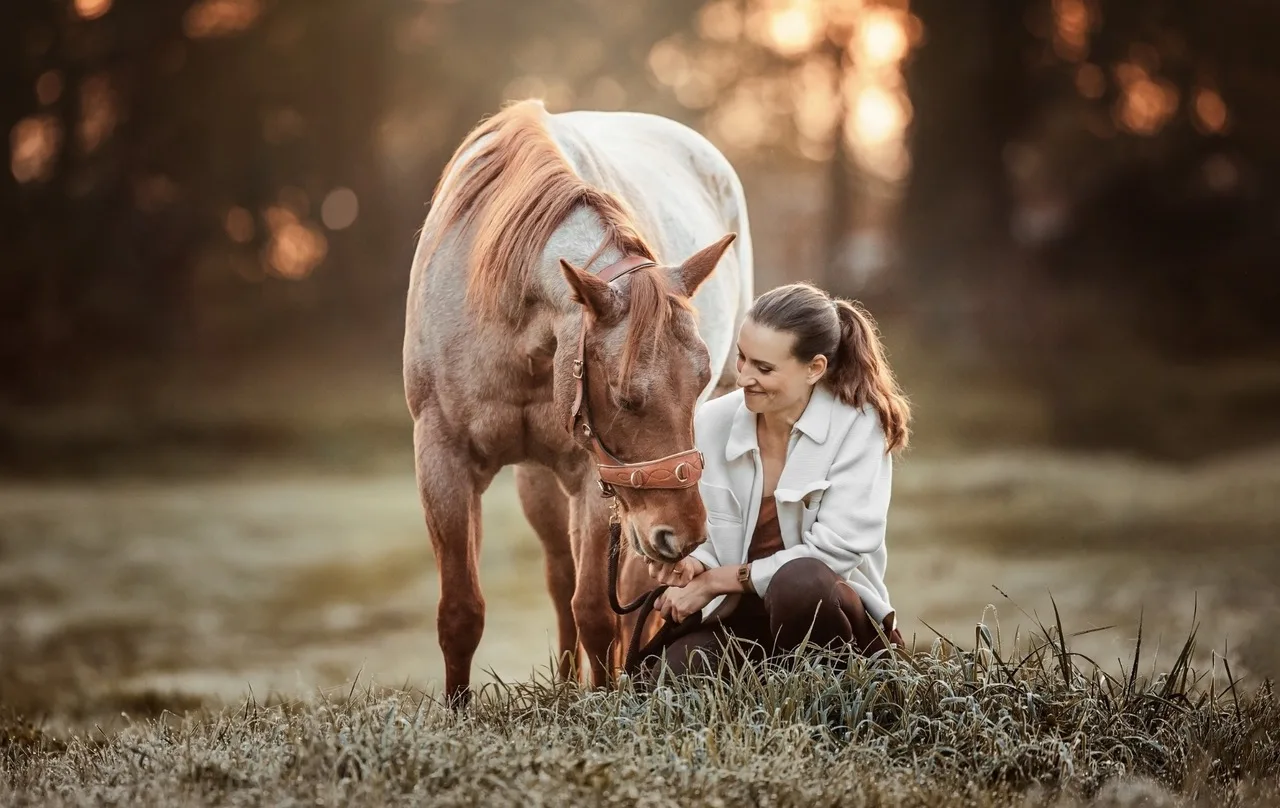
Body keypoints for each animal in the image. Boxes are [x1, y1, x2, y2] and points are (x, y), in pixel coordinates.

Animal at [403, 98, 754, 703]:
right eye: (624, 396)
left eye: (700, 381)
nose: (684, 532)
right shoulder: (442, 456)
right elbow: (460, 612)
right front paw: (457, 711)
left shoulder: (597, 476)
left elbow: (597, 610)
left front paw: (609, 699)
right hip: (548, 485)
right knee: (560, 571)